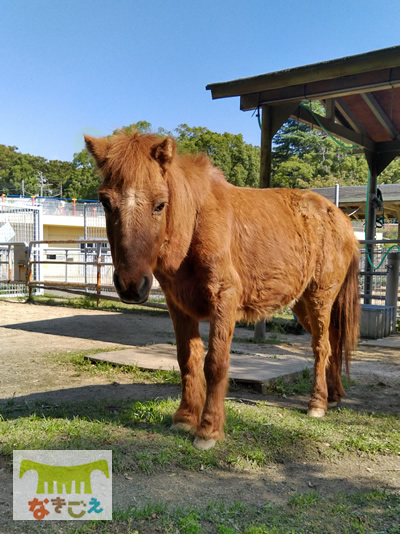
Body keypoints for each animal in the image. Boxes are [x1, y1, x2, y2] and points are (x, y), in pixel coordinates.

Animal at [84, 130, 360, 452]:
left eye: (160, 205)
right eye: (105, 202)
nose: (130, 284)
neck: (196, 221)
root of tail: (341, 217)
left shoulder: (224, 300)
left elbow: (215, 363)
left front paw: (208, 430)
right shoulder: (178, 305)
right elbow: (187, 359)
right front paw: (185, 417)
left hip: (319, 297)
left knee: (321, 347)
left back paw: (317, 403)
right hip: (302, 303)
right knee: (334, 341)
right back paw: (334, 395)